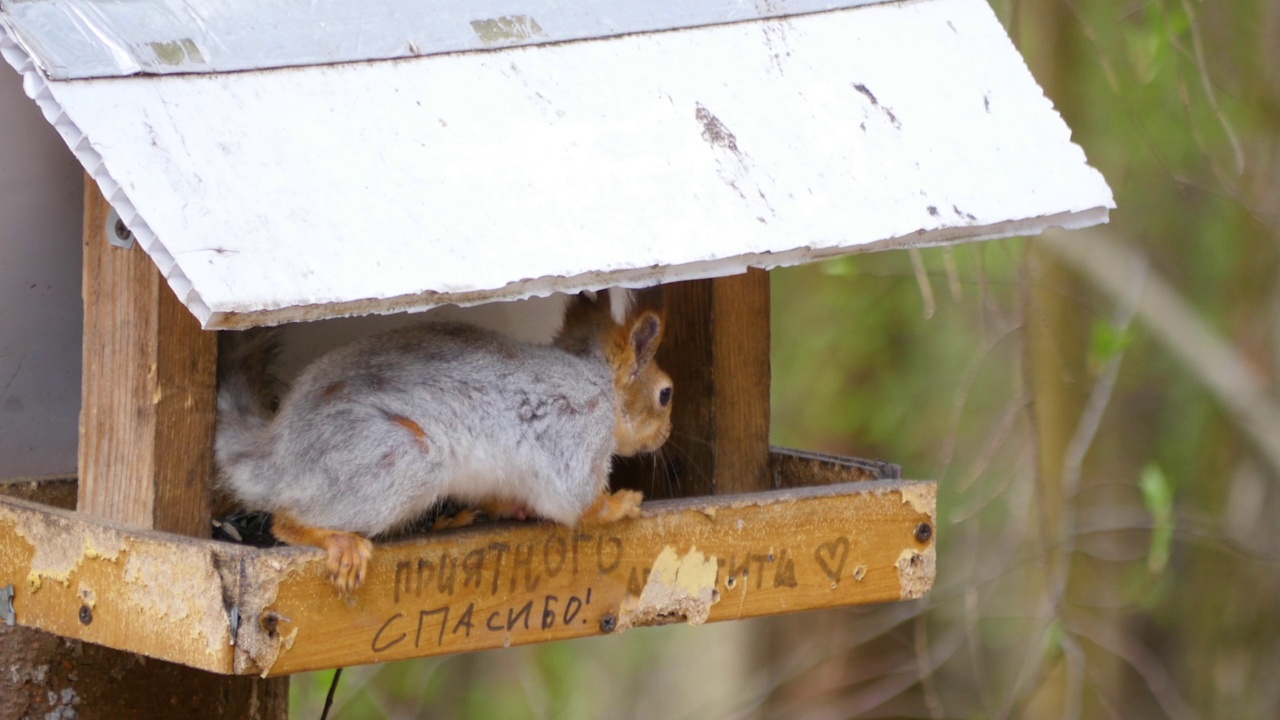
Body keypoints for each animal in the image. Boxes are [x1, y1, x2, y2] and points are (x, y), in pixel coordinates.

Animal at [212, 288, 670, 591]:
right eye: (666, 394)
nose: (666, 436)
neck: (597, 381)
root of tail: (276, 454)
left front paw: (512, 508)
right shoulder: (578, 432)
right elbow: (577, 502)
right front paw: (619, 505)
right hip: (394, 460)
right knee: (286, 519)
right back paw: (339, 541)